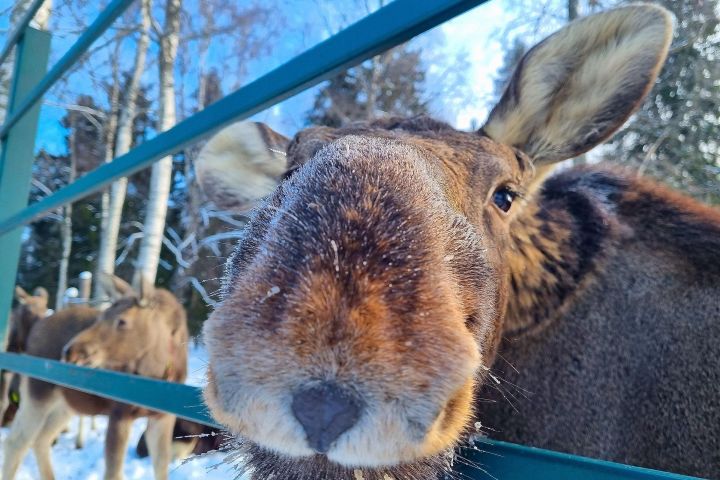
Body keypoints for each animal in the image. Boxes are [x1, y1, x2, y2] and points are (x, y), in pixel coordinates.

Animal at [0, 276, 191, 480]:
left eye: (122, 321)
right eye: (102, 316)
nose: (70, 352)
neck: (159, 372)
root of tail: (32, 332)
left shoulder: (163, 417)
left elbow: (162, 466)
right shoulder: (119, 413)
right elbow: (113, 472)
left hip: (65, 404)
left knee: (41, 439)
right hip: (38, 391)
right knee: (17, 441)